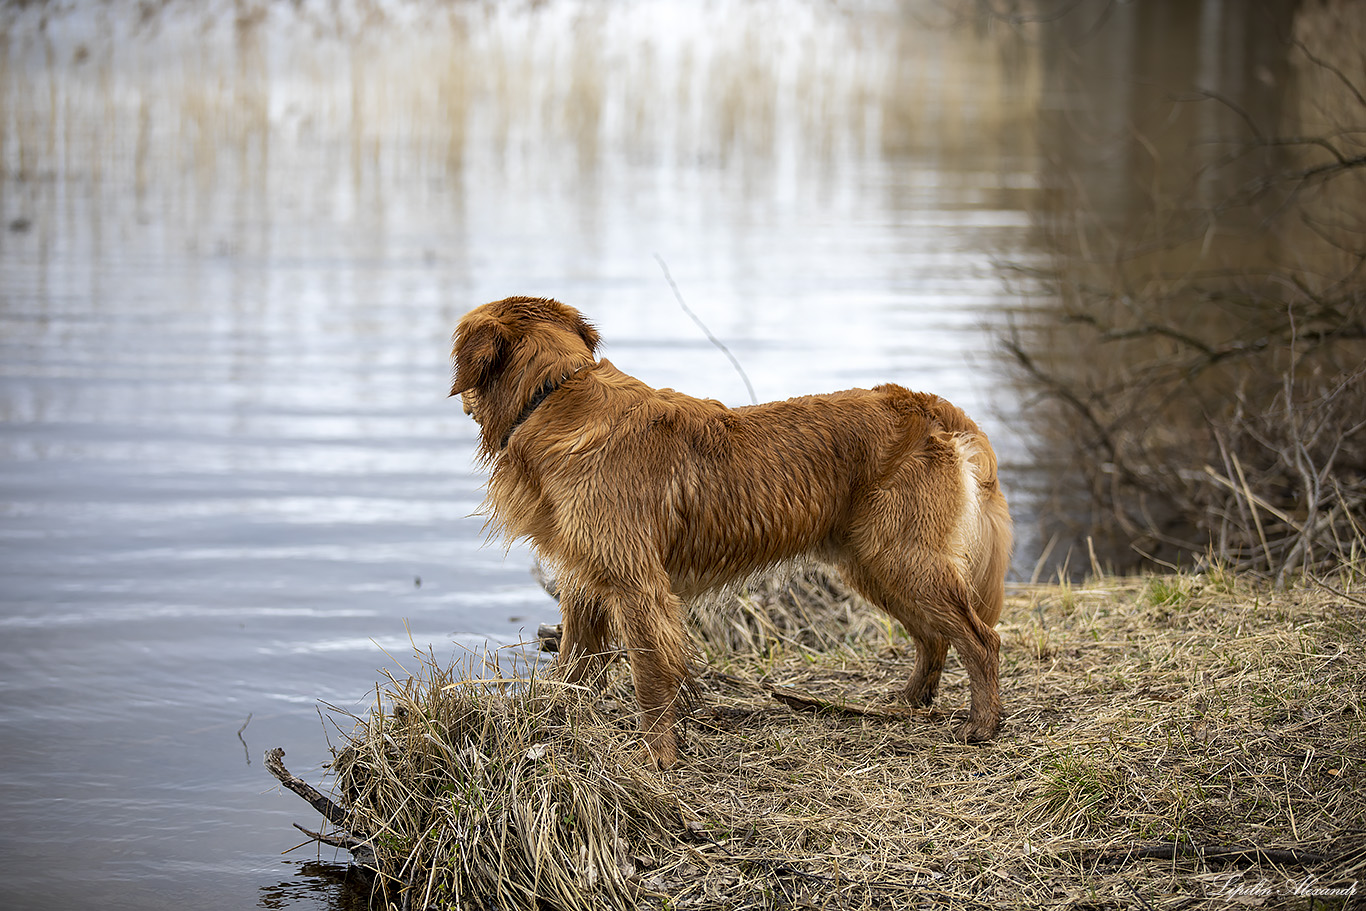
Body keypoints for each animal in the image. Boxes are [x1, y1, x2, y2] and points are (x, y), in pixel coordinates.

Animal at [453, 297, 1010, 770]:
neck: (554, 395)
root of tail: (923, 403)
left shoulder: (637, 584)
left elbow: (649, 675)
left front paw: (658, 757)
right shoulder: (586, 578)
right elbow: (572, 667)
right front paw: (548, 725)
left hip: (901, 554)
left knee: (980, 638)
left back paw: (983, 725)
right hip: (874, 562)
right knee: (934, 636)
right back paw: (909, 701)